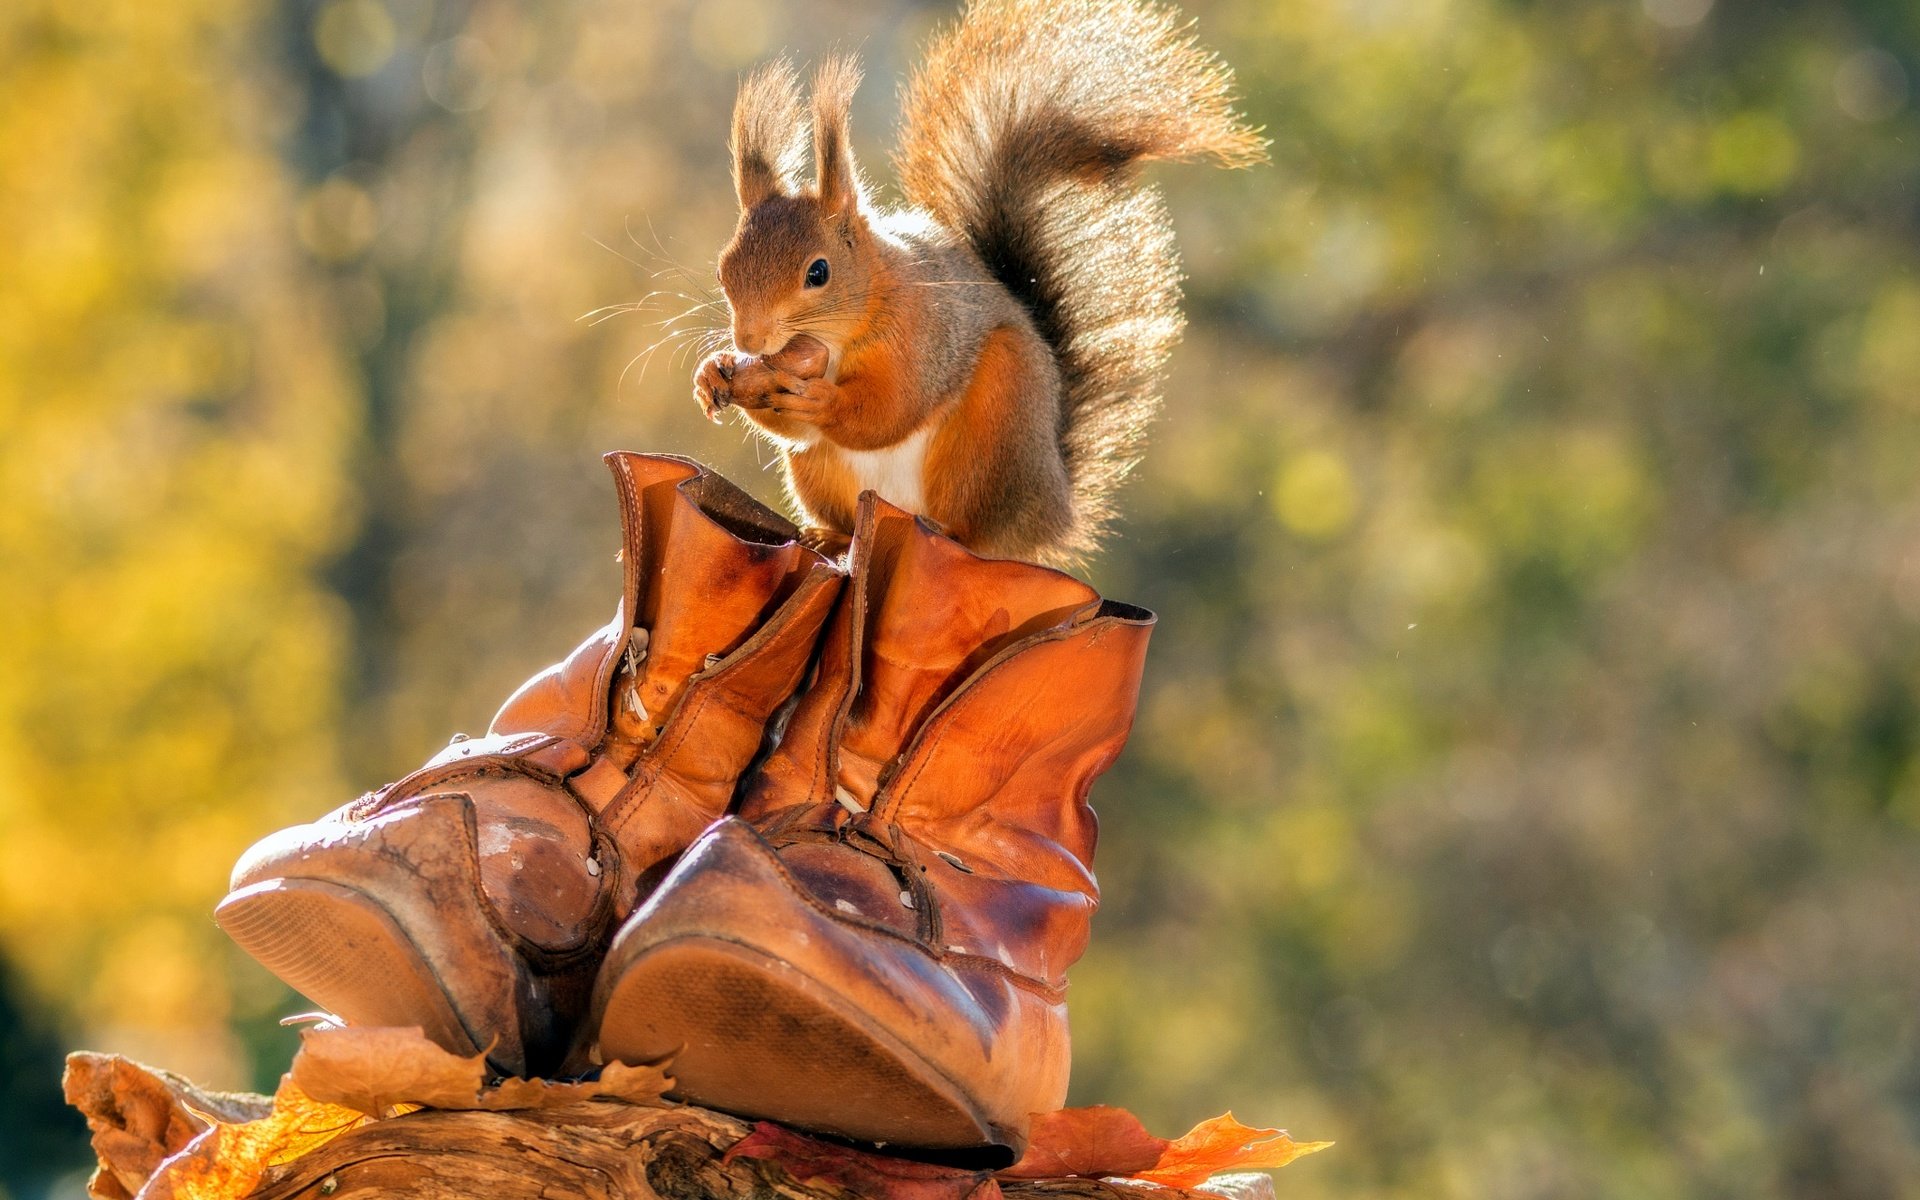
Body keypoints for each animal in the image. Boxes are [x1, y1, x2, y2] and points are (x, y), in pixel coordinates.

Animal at [691, 0, 1259, 564]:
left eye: (818, 272)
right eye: (723, 268)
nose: (748, 340)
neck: (831, 340)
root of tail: (1051, 510)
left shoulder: (924, 334)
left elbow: (891, 410)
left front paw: (823, 402)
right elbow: (797, 429)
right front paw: (713, 373)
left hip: (993, 434)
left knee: (976, 531)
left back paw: (951, 532)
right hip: (825, 475)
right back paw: (829, 536)